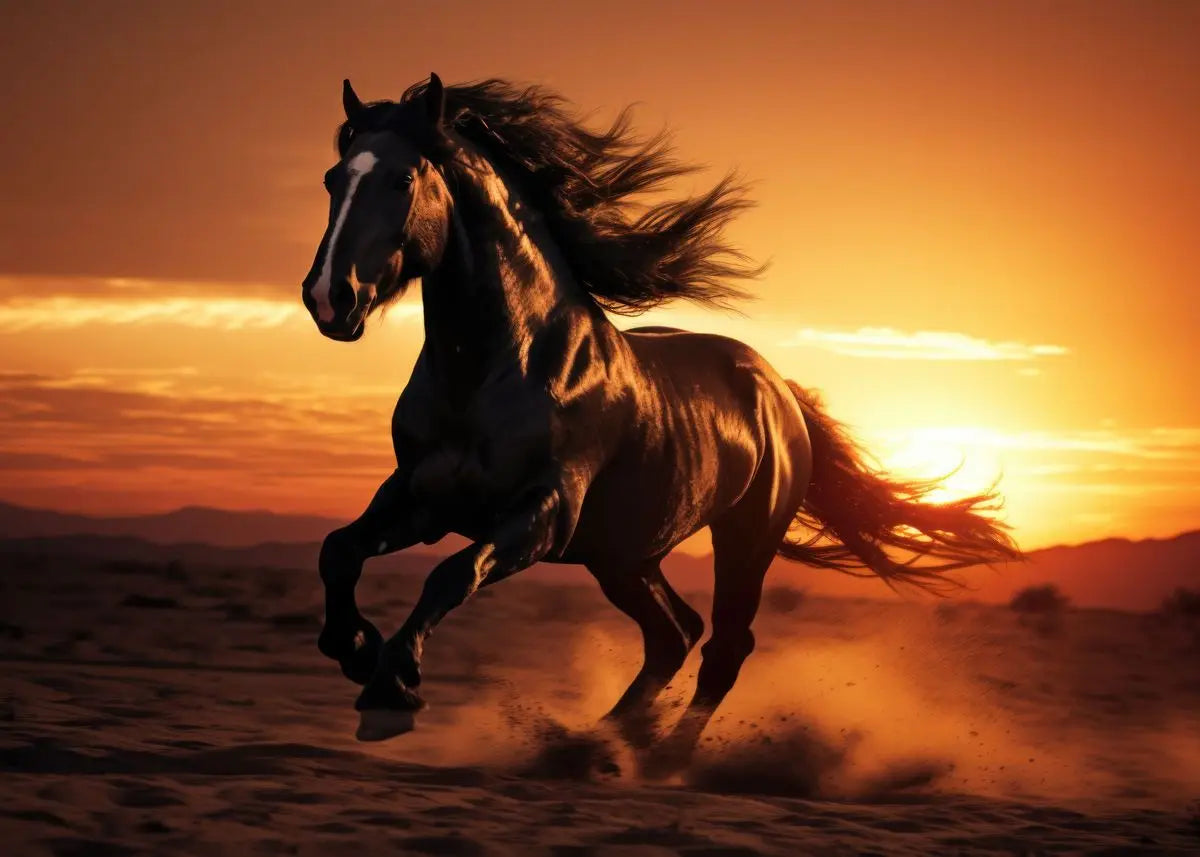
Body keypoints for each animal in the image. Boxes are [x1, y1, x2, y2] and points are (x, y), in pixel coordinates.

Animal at [299, 73, 1021, 766]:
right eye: (334, 178)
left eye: (402, 179)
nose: (329, 299)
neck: (504, 367)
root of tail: (779, 392)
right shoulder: (421, 499)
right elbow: (338, 549)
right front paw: (356, 647)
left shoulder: (541, 517)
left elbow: (450, 574)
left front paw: (390, 691)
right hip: (624, 556)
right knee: (674, 635)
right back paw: (600, 743)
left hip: (742, 539)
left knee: (723, 645)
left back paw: (661, 757)